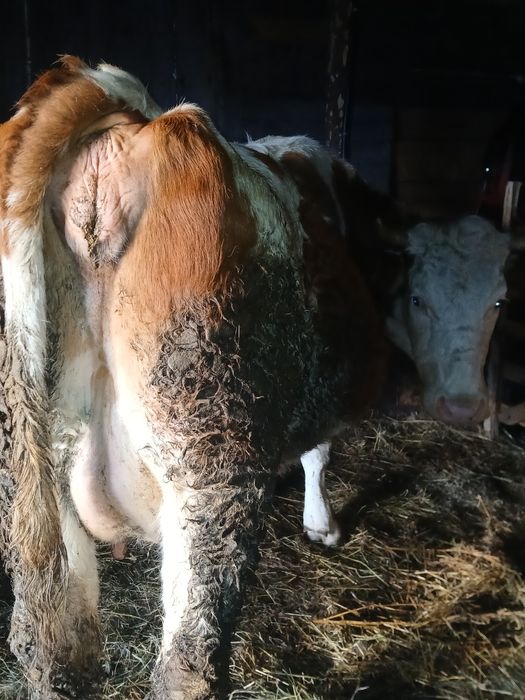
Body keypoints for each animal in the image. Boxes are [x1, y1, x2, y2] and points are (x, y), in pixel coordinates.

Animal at [0, 57, 384, 699]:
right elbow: (319, 452)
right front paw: (323, 526)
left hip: (33, 477)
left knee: (49, 644)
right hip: (208, 464)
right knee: (188, 666)